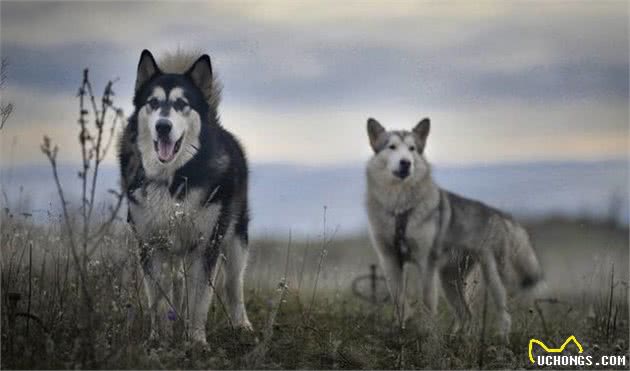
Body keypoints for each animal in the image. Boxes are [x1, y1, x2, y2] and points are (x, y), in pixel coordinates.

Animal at [119, 50, 253, 346]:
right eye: (153, 102)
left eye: (182, 104)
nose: (163, 126)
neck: (173, 178)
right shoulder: (151, 245)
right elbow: (157, 301)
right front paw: (158, 339)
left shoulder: (205, 246)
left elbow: (200, 299)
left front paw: (197, 341)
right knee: (177, 283)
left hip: (235, 237)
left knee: (233, 284)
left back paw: (242, 326)